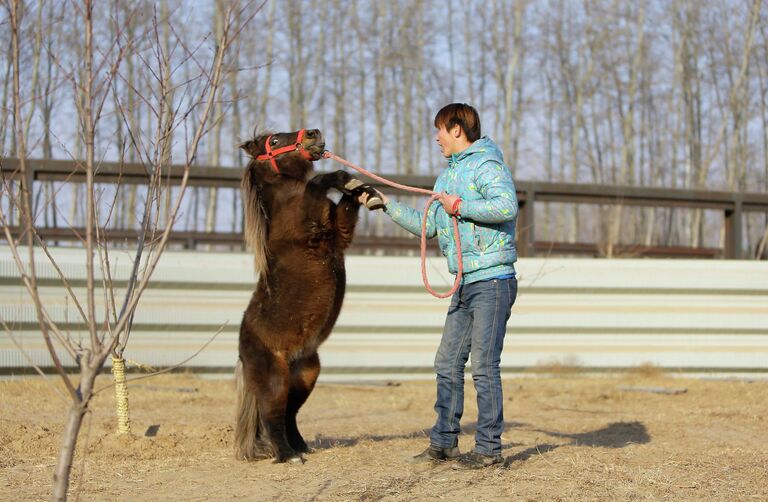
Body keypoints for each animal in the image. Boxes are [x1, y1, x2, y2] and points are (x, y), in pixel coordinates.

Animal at [234, 129, 378, 462]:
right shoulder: (313, 225)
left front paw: (356, 186)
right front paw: (338, 177)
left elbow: (346, 207)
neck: (286, 201)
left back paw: (300, 446)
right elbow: (315, 187)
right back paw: (287, 454)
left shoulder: (340, 232)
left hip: (306, 375)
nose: (314, 134)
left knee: (290, 413)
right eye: (273, 142)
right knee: (272, 414)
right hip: (275, 379)